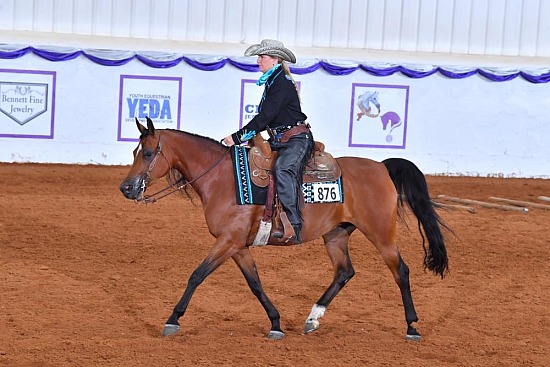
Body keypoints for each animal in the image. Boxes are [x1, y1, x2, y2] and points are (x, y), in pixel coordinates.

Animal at [118, 118, 450, 342]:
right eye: (134, 152)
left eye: (147, 153)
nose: (126, 188)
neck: (223, 179)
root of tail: (382, 166)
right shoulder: (238, 246)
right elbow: (255, 284)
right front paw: (276, 323)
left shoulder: (228, 242)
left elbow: (197, 275)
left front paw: (173, 319)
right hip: (336, 234)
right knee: (344, 272)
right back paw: (312, 319)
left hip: (381, 234)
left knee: (401, 271)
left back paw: (412, 326)